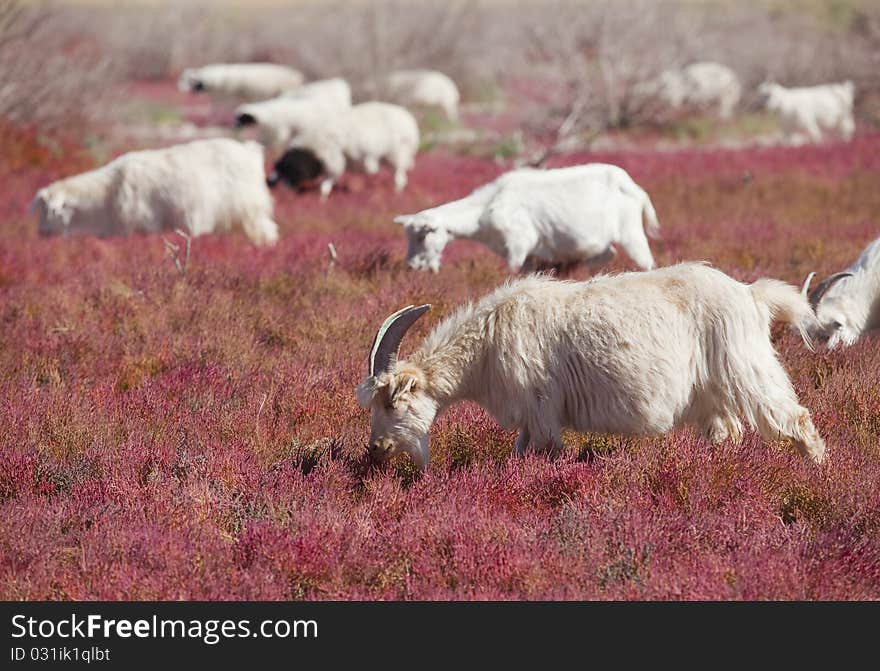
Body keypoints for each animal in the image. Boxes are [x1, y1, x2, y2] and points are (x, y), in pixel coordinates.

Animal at [32, 139, 278, 247]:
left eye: (50, 211)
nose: (42, 233)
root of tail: (249, 150)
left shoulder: (141, 223)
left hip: (249, 208)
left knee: (265, 230)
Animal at [268, 101, 420, 198]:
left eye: (291, 171)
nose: (286, 194)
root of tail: (408, 119)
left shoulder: (334, 158)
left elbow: (329, 179)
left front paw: (323, 197)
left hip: (397, 152)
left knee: (399, 176)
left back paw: (396, 193)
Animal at [356, 262, 824, 468]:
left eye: (391, 404)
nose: (376, 448)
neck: (488, 342)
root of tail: (751, 295)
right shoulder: (531, 418)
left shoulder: (541, 409)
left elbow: (546, 453)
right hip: (712, 394)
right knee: (727, 432)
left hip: (746, 368)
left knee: (795, 417)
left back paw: (817, 471)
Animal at [396, 163, 656, 272]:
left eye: (422, 236)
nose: (412, 265)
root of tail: (634, 187)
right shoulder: (527, 255)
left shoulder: (519, 243)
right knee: (607, 254)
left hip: (631, 232)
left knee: (646, 261)